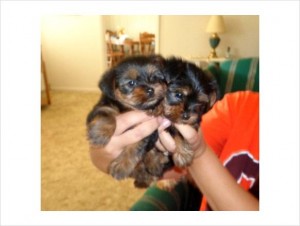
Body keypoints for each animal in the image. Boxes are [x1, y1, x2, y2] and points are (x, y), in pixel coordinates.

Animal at [86, 54, 169, 185]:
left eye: (154, 78)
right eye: (131, 83)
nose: (150, 89)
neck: (128, 108)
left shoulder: (143, 132)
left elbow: (134, 147)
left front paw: (122, 166)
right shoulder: (100, 108)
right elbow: (106, 114)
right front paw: (100, 134)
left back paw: (155, 163)